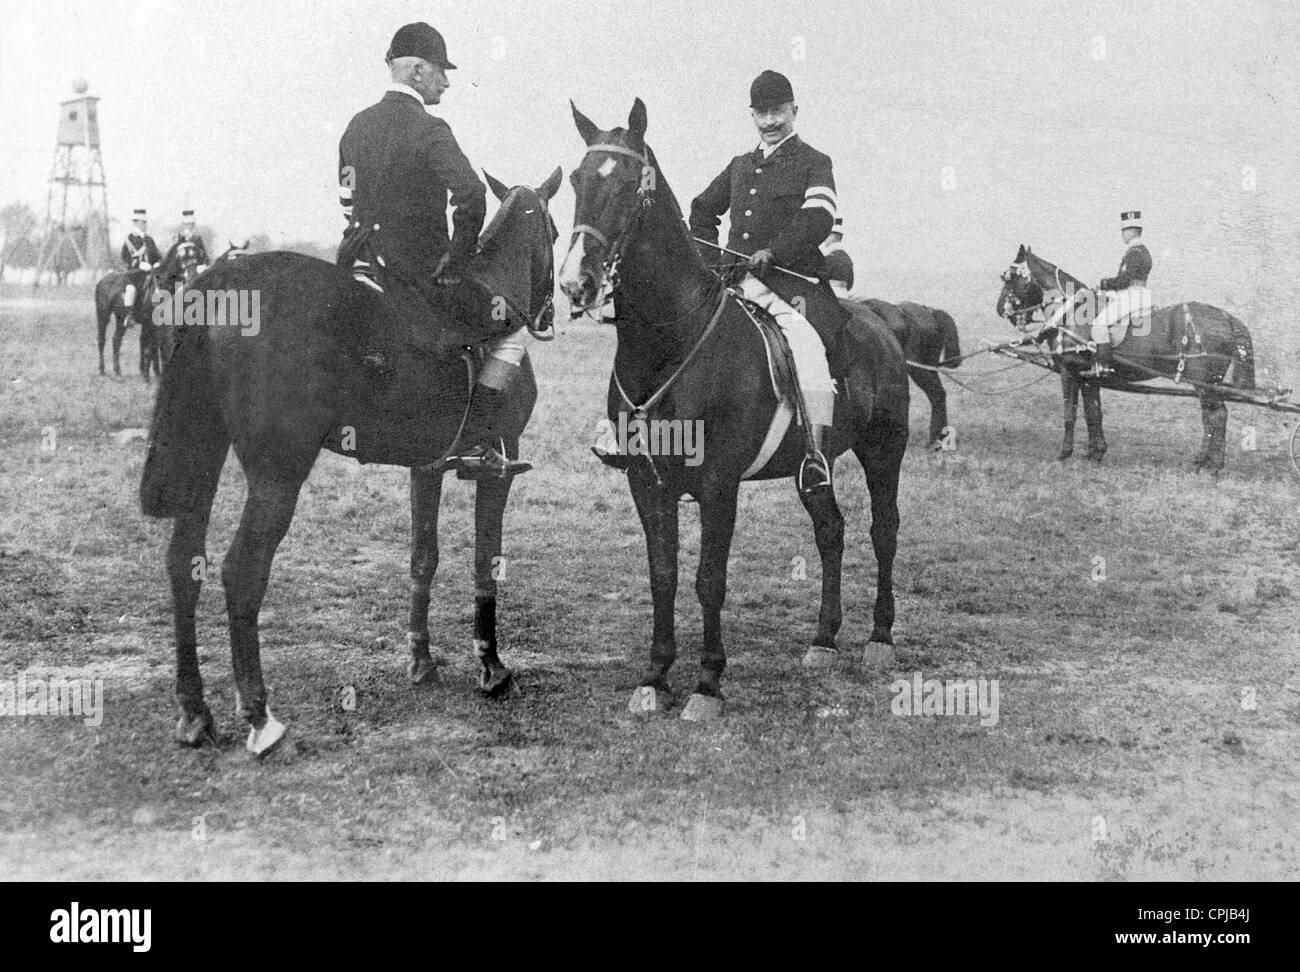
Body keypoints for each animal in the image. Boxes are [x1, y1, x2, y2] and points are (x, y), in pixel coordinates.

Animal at [139, 170, 561, 753]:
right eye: (557, 232)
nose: (552, 311)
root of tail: (221, 284)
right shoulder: (501, 462)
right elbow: (486, 561)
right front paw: (491, 666)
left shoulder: (427, 468)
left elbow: (423, 558)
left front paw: (421, 661)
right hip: (278, 476)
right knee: (241, 571)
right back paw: (259, 715)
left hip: (204, 458)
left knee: (185, 564)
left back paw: (194, 711)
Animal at [561, 100, 915, 722]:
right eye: (578, 181)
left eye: (628, 186)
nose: (576, 283)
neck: (671, 342)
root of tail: (881, 322)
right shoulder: (646, 482)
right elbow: (663, 575)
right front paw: (654, 678)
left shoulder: (718, 484)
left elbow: (709, 580)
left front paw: (707, 684)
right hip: (814, 466)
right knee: (832, 531)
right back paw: (823, 641)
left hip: (882, 454)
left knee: (883, 531)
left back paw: (879, 639)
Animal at [993, 243, 1258, 470]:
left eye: (1010, 277)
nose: (999, 309)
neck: (1073, 313)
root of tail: (1227, 318)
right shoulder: (1089, 377)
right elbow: (1093, 413)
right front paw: (1095, 453)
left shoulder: (1070, 372)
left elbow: (1070, 413)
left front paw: (1064, 453)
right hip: (1209, 384)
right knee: (1214, 416)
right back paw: (1206, 461)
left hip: (1203, 383)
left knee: (1216, 416)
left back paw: (1210, 465)